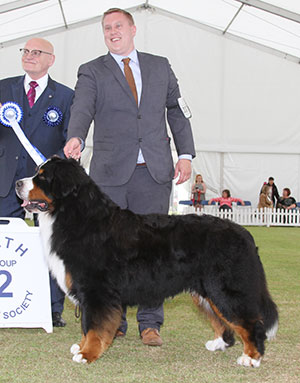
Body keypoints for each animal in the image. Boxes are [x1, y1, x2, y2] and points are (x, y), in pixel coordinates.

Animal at [15, 158, 278, 368]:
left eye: (43, 177)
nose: (18, 183)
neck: (77, 216)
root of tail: (244, 233)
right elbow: (88, 324)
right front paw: (81, 347)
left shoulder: (97, 291)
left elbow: (93, 325)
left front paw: (87, 353)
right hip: (207, 292)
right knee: (224, 320)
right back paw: (219, 343)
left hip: (226, 289)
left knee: (251, 323)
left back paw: (251, 357)